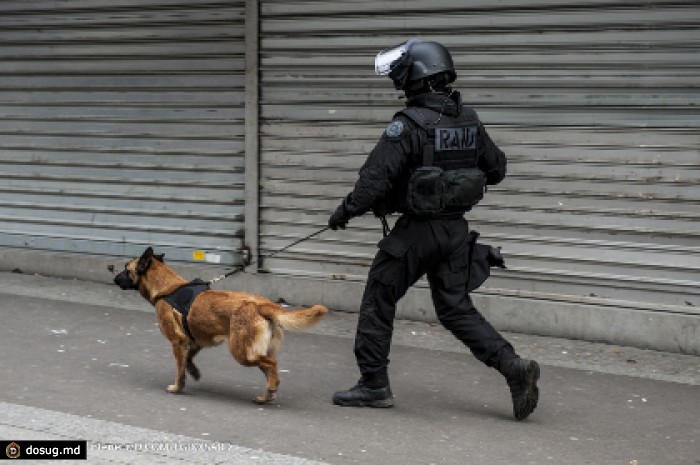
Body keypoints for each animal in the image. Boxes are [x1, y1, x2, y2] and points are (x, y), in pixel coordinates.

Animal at [113, 246, 330, 402]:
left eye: (126, 269)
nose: (114, 277)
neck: (168, 288)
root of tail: (261, 304)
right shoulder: (194, 342)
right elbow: (188, 360)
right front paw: (194, 372)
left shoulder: (177, 342)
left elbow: (179, 369)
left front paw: (177, 387)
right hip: (255, 351)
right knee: (269, 369)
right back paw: (266, 395)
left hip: (242, 353)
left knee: (271, 365)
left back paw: (271, 389)